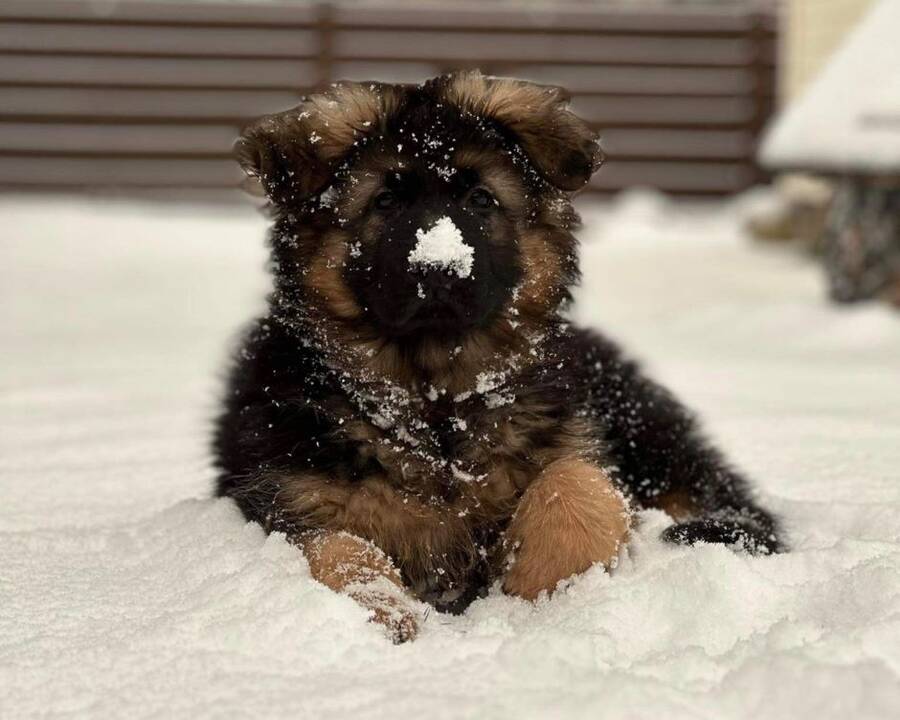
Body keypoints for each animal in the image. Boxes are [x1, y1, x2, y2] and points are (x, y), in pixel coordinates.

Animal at [214, 71, 784, 640]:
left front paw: (546, 597)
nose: (439, 270)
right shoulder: (286, 496)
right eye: (384, 202)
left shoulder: (569, 445)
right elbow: (336, 548)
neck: (437, 404)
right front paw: (387, 615)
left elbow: (580, 483)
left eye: (480, 199)